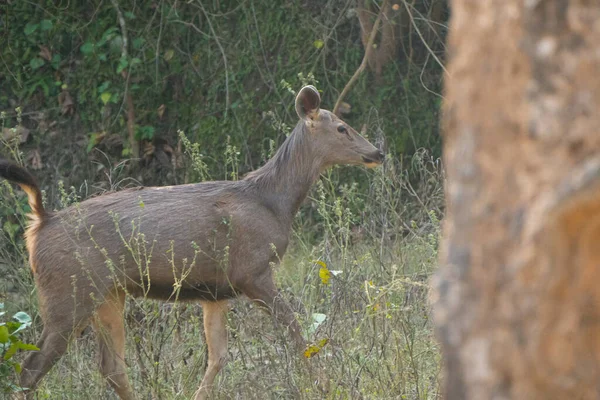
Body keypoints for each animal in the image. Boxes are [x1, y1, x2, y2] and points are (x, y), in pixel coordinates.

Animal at [0, 85, 382, 400]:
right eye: (342, 127)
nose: (377, 151)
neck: (274, 203)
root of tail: (40, 223)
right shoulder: (253, 271)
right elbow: (297, 334)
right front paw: (324, 384)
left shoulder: (215, 293)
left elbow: (218, 357)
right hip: (69, 292)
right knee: (29, 369)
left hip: (107, 294)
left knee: (110, 367)